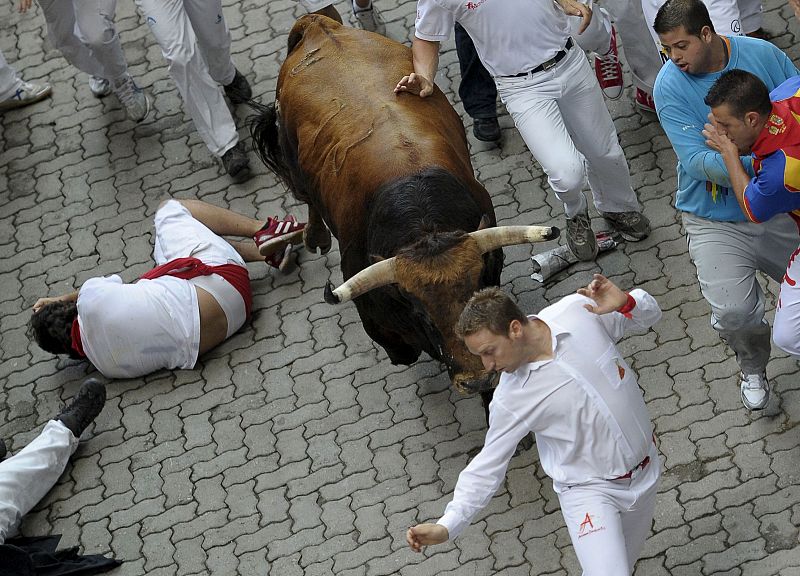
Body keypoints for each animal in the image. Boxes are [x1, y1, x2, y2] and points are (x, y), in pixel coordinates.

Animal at [253, 16, 560, 396]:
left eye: (473, 295)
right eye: (422, 313)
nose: (475, 380)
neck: (423, 219)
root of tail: (316, 25)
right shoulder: (377, 316)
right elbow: (400, 348)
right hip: (293, 161)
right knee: (306, 197)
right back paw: (315, 236)